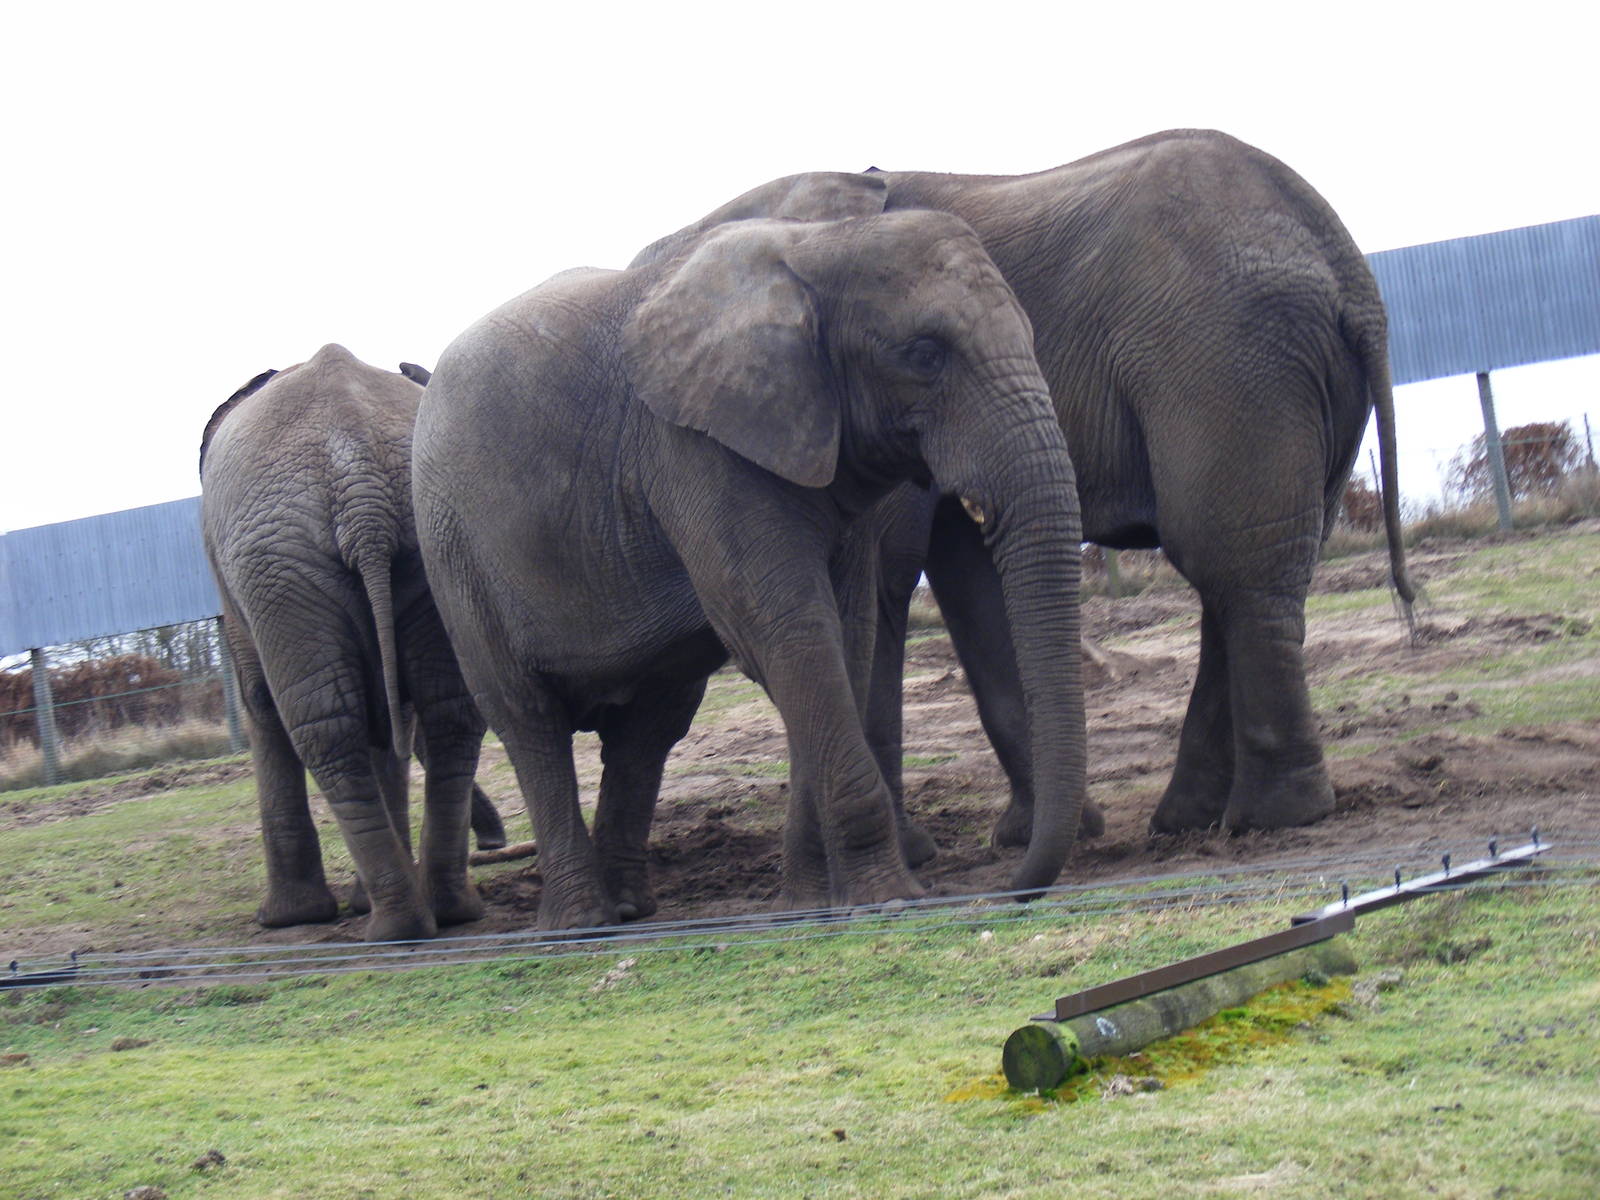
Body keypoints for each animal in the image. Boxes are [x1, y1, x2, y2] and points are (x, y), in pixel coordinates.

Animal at [200, 344, 499, 941]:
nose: (496, 841)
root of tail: (360, 484)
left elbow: (260, 702)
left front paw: (284, 920)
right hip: (427, 538)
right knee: (448, 712)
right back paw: (447, 909)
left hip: (276, 566)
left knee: (325, 726)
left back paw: (392, 924)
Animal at [413, 209, 1087, 931]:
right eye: (925, 354)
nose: (1012, 886)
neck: (821, 243)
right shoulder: (694, 448)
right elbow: (787, 632)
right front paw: (890, 899)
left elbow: (842, 638)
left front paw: (811, 906)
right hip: (454, 553)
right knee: (528, 719)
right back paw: (581, 925)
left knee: (649, 726)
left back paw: (628, 907)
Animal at [632, 129, 1415, 850]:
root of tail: (1346, 264)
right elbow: (968, 580)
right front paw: (1031, 833)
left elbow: (889, 574)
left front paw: (925, 852)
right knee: (1250, 563)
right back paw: (1187, 819)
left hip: (1227, 357)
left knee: (1230, 561)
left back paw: (1268, 818)